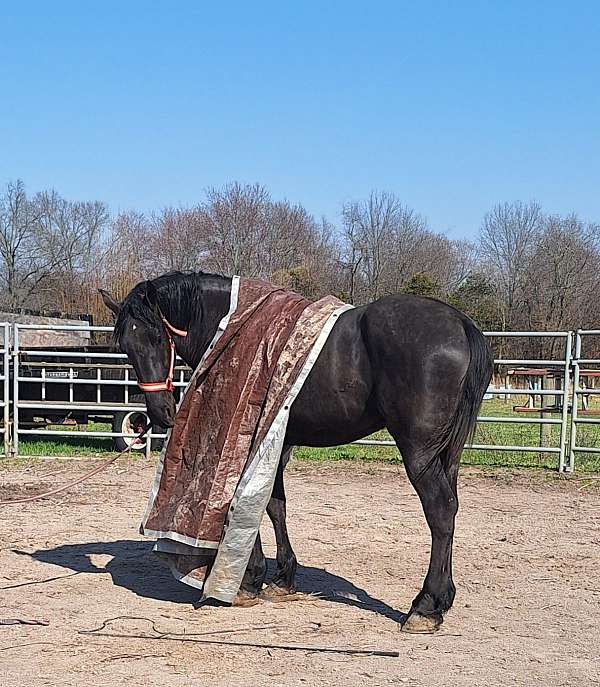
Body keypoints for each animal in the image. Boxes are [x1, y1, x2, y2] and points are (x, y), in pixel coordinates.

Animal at [100, 271, 493, 632]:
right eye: (126, 345)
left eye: (155, 336)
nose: (159, 412)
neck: (232, 325)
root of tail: (461, 324)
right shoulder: (278, 441)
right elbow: (274, 505)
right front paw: (281, 577)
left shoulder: (250, 437)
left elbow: (244, 502)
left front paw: (247, 580)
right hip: (447, 455)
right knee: (450, 511)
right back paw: (442, 599)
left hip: (420, 453)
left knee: (439, 512)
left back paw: (425, 606)